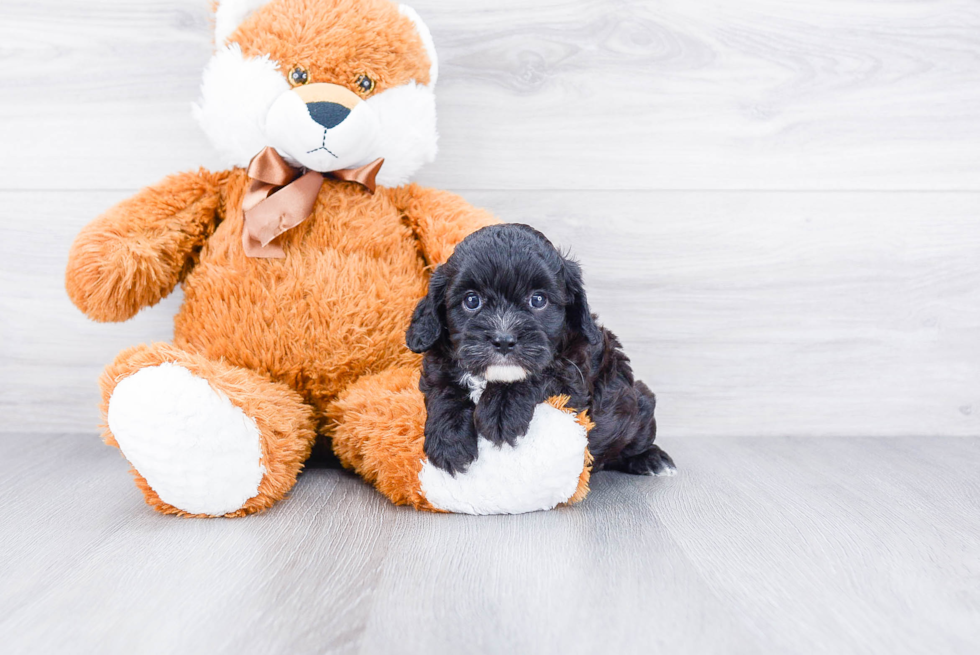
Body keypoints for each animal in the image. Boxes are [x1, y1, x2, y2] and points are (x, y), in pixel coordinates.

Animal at [406, 224, 672, 476]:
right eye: (472, 301)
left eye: (538, 300)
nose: (504, 340)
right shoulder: (439, 363)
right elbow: (444, 389)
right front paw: (448, 440)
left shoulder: (574, 375)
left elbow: (542, 374)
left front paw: (500, 408)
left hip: (639, 403)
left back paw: (652, 459)